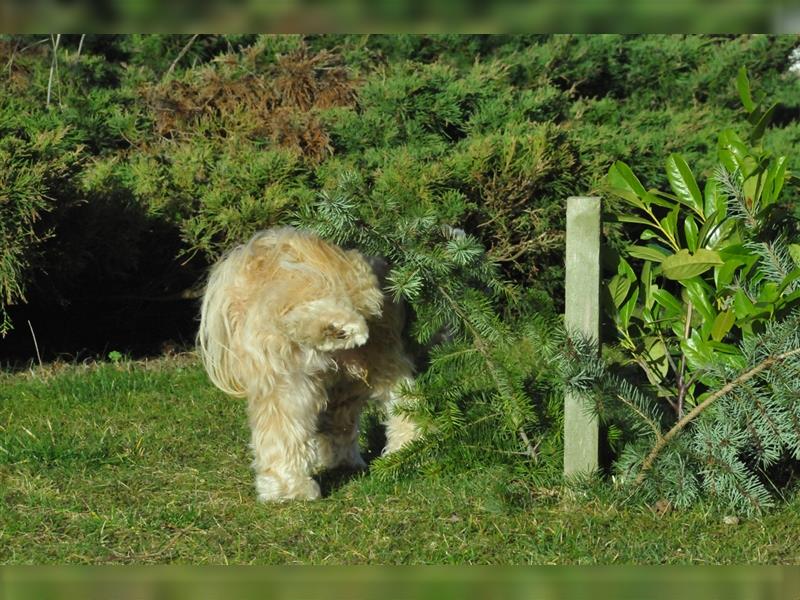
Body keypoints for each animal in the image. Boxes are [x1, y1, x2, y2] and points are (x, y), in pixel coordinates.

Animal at [198, 227, 418, 500]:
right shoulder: (384, 365)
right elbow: (406, 406)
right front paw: (406, 447)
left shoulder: (347, 392)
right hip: (336, 284)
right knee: (309, 311)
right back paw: (340, 328)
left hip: (284, 380)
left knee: (280, 433)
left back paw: (288, 489)